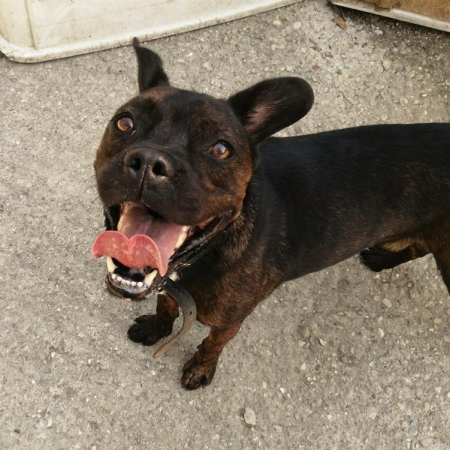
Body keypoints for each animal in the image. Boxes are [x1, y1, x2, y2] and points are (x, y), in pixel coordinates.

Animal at [93, 39, 450, 390]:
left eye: (221, 149)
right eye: (125, 122)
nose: (150, 161)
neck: (212, 250)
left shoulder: (230, 321)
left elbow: (213, 344)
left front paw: (200, 368)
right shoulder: (169, 287)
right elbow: (165, 306)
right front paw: (156, 329)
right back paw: (383, 259)